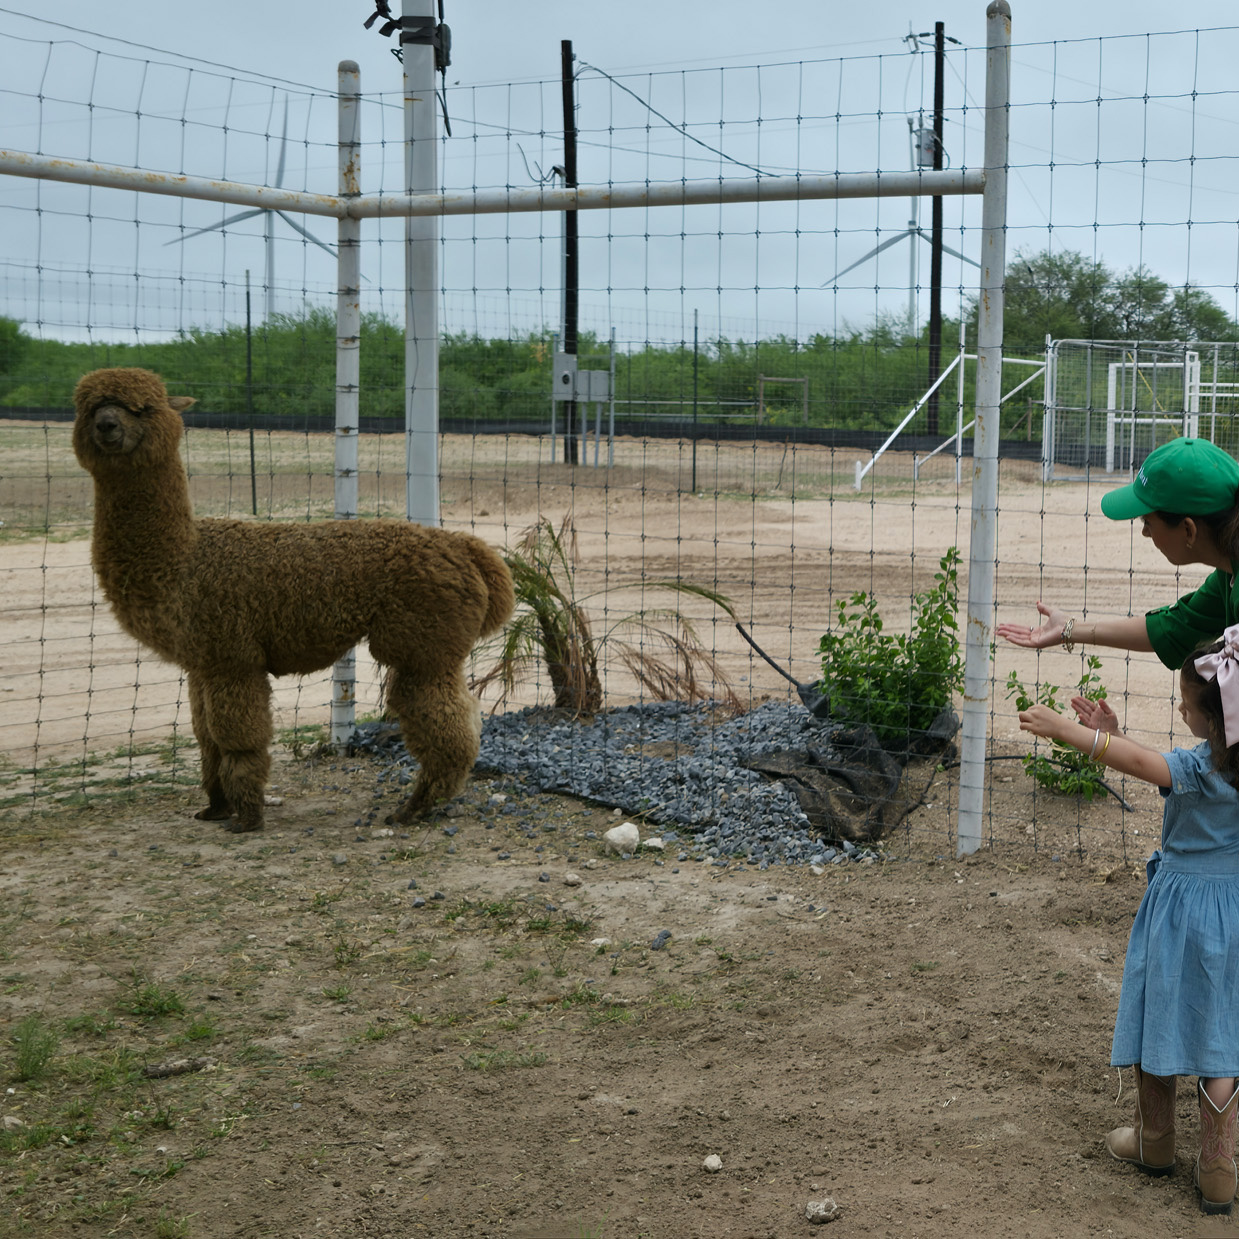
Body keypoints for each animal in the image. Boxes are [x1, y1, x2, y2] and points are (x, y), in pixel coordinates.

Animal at [72, 366, 514, 832]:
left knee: (445, 722)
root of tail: (465, 546)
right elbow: (205, 736)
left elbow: (239, 737)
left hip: (421, 644)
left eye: (142, 408)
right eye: (89, 408)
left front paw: (247, 816)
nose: (107, 426)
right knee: (464, 715)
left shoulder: (233, 658)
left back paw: (415, 807)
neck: (184, 559)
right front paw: (214, 807)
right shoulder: (202, 662)